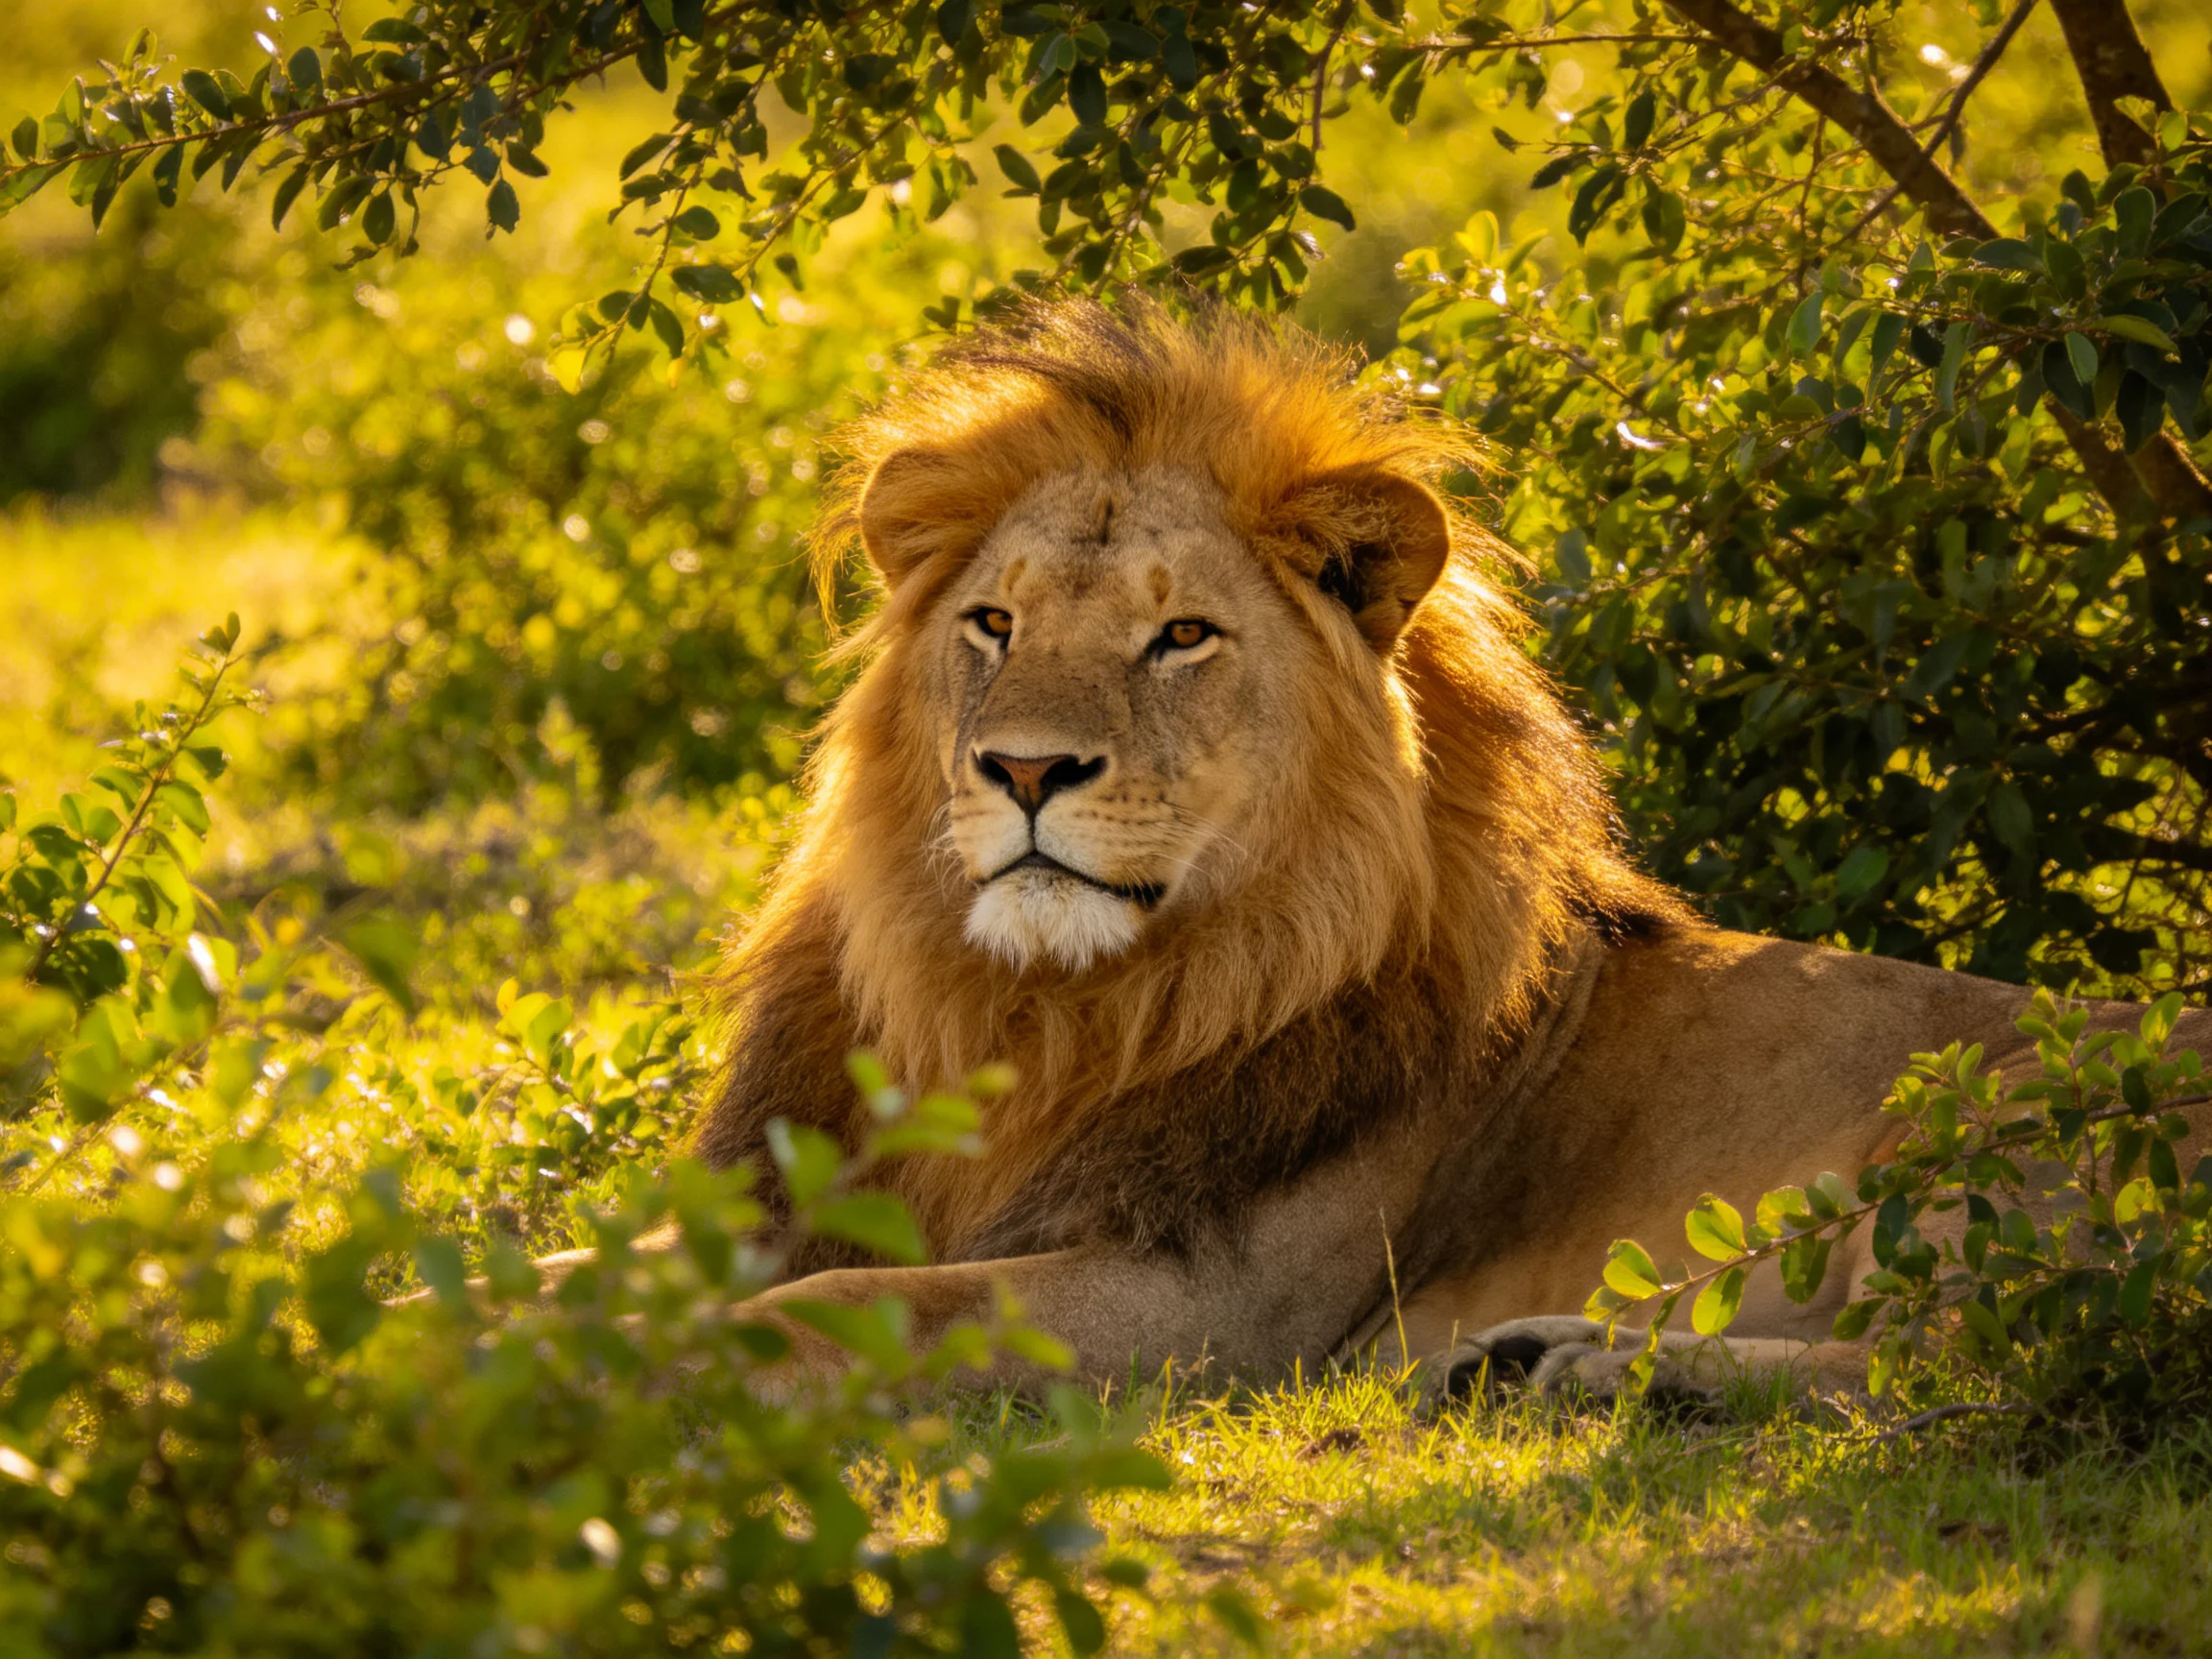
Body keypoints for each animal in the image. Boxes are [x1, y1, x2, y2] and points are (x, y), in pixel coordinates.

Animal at [687, 298, 2210, 1405]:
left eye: (1181, 637)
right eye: (993, 624)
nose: (1023, 770)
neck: (1047, 1010)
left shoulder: (1208, 1310)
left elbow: (843, 1307)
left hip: (2012, 1118)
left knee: (1975, 1359)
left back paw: (1591, 1367)